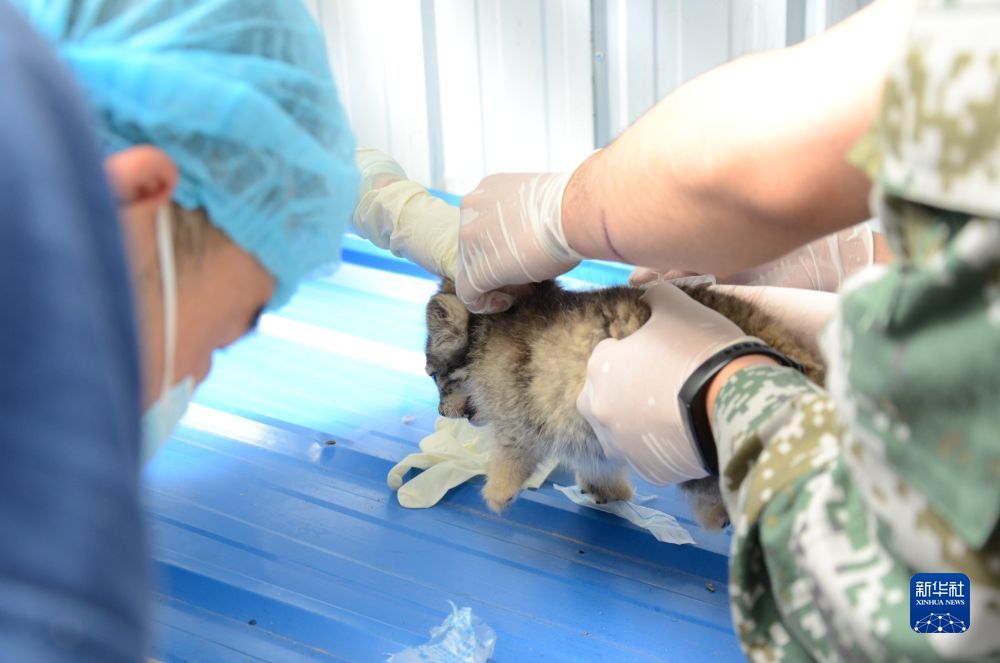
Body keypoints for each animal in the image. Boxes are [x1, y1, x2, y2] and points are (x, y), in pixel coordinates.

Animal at [424, 278, 824, 529]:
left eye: (432, 376)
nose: (440, 411)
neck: (487, 339)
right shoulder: (586, 434)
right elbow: (598, 465)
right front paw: (610, 492)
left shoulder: (519, 412)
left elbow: (513, 452)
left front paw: (498, 491)